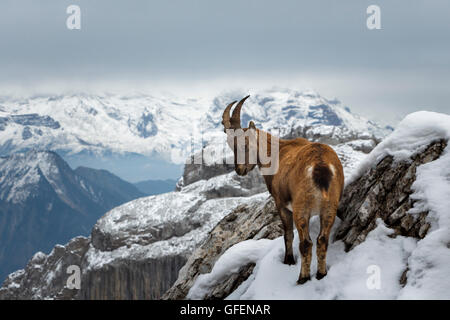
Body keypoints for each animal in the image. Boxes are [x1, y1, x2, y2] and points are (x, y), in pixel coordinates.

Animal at [222, 95, 344, 282]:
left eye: (245, 146)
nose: (239, 170)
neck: (277, 151)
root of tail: (321, 166)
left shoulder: (281, 204)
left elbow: (288, 234)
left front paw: (288, 260)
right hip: (330, 207)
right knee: (322, 240)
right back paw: (321, 274)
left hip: (302, 208)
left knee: (306, 243)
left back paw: (302, 278)